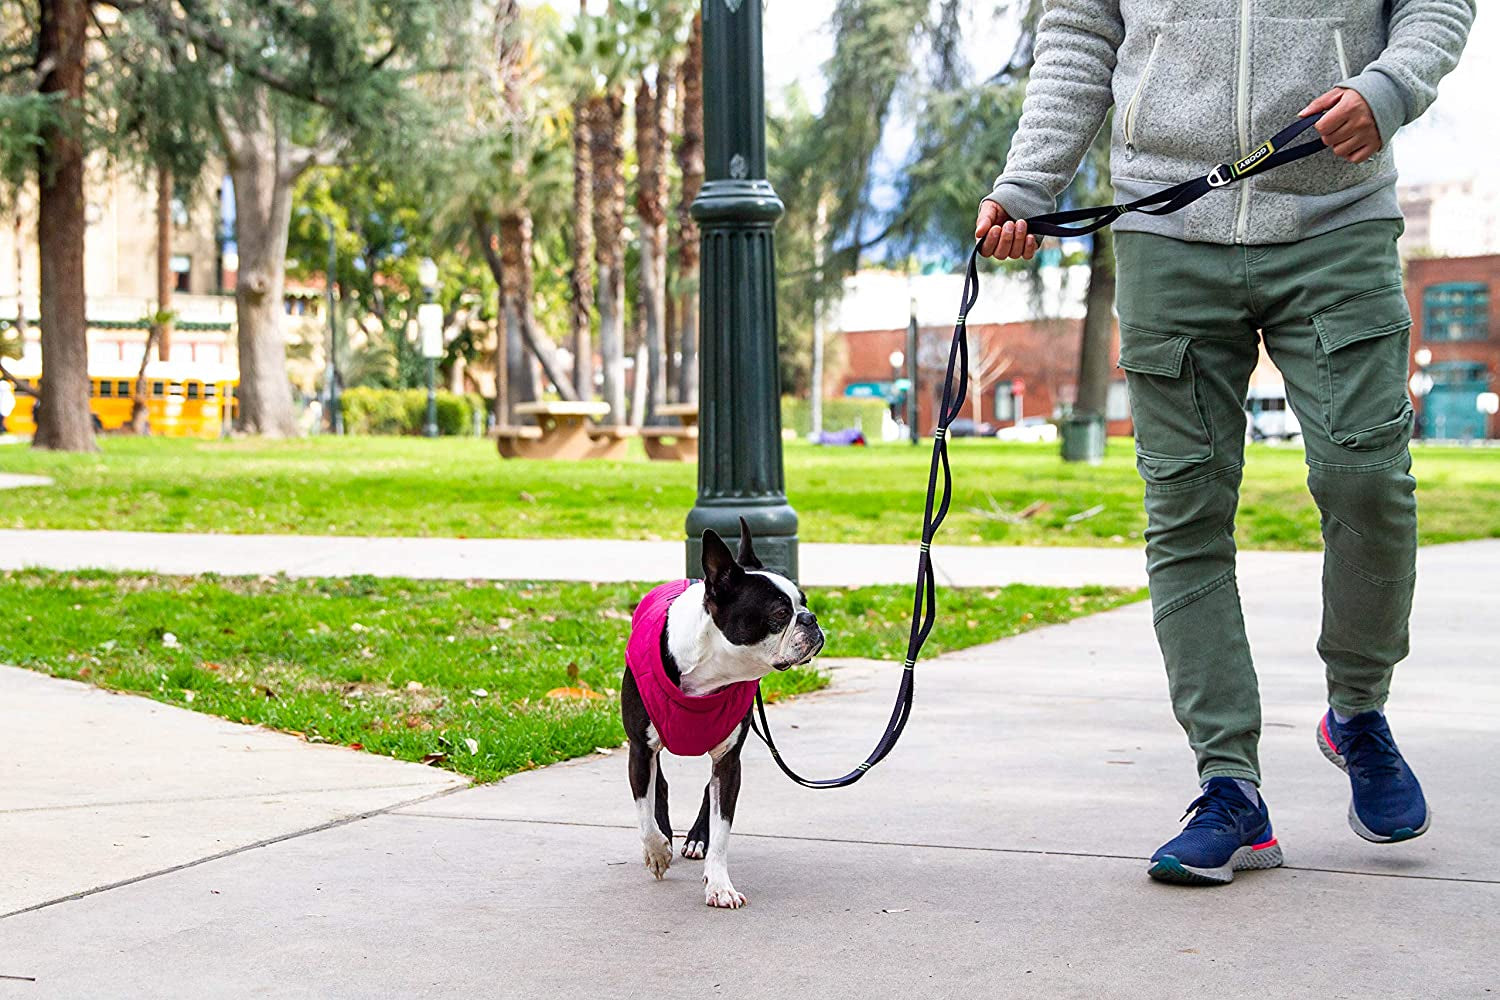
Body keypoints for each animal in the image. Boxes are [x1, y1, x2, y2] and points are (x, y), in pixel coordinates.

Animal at [624, 524, 834, 905]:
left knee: (708, 790)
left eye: (805, 604)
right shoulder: (639, 748)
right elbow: (644, 813)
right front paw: (657, 851)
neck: (712, 671)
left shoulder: (728, 759)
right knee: (659, 786)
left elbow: (722, 827)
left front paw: (720, 885)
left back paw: (696, 838)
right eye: (780, 614)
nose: (810, 620)